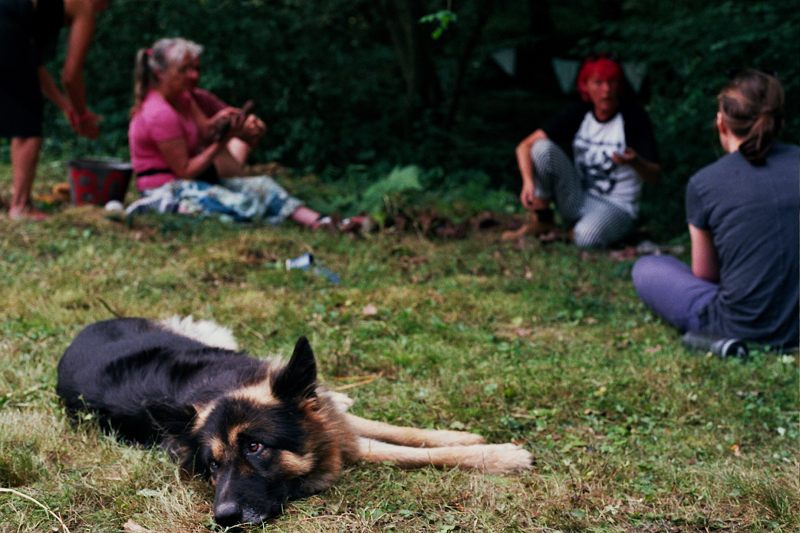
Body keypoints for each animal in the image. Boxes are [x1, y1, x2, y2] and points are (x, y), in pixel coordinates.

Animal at [57, 316, 532, 528]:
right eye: (212, 466)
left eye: (254, 447)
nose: (223, 519)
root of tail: (79, 334)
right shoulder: (343, 439)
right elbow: (400, 452)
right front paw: (498, 455)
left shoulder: (328, 419)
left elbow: (397, 431)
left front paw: (468, 438)